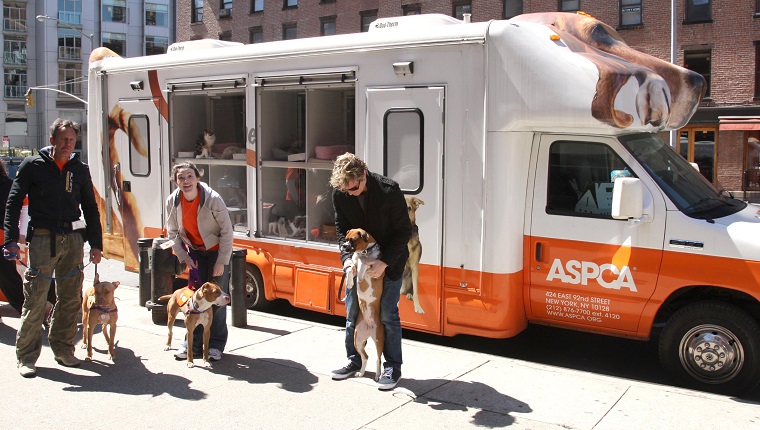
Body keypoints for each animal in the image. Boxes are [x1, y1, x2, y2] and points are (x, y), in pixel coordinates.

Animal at [342, 228, 382, 380]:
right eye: (345, 238)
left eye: (352, 240)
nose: (343, 246)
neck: (363, 253)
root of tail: (369, 326)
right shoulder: (352, 264)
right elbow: (349, 269)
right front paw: (350, 282)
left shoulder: (375, 269)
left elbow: (364, 265)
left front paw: (360, 275)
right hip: (357, 340)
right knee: (365, 357)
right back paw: (361, 372)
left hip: (379, 340)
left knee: (378, 359)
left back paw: (378, 375)